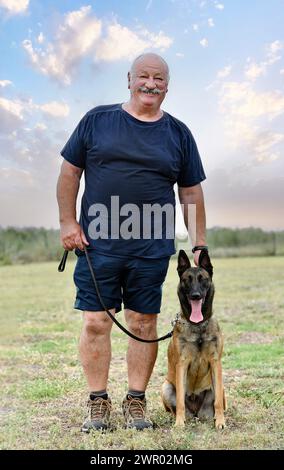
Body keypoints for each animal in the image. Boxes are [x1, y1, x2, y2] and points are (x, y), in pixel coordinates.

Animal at [162, 250, 226, 430]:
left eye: (203, 279)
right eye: (187, 280)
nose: (195, 295)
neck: (197, 326)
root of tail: (197, 413)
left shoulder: (215, 363)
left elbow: (218, 402)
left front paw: (220, 422)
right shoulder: (182, 364)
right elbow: (180, 402)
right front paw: (179, 423)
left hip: (220, 386)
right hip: (166, 386)